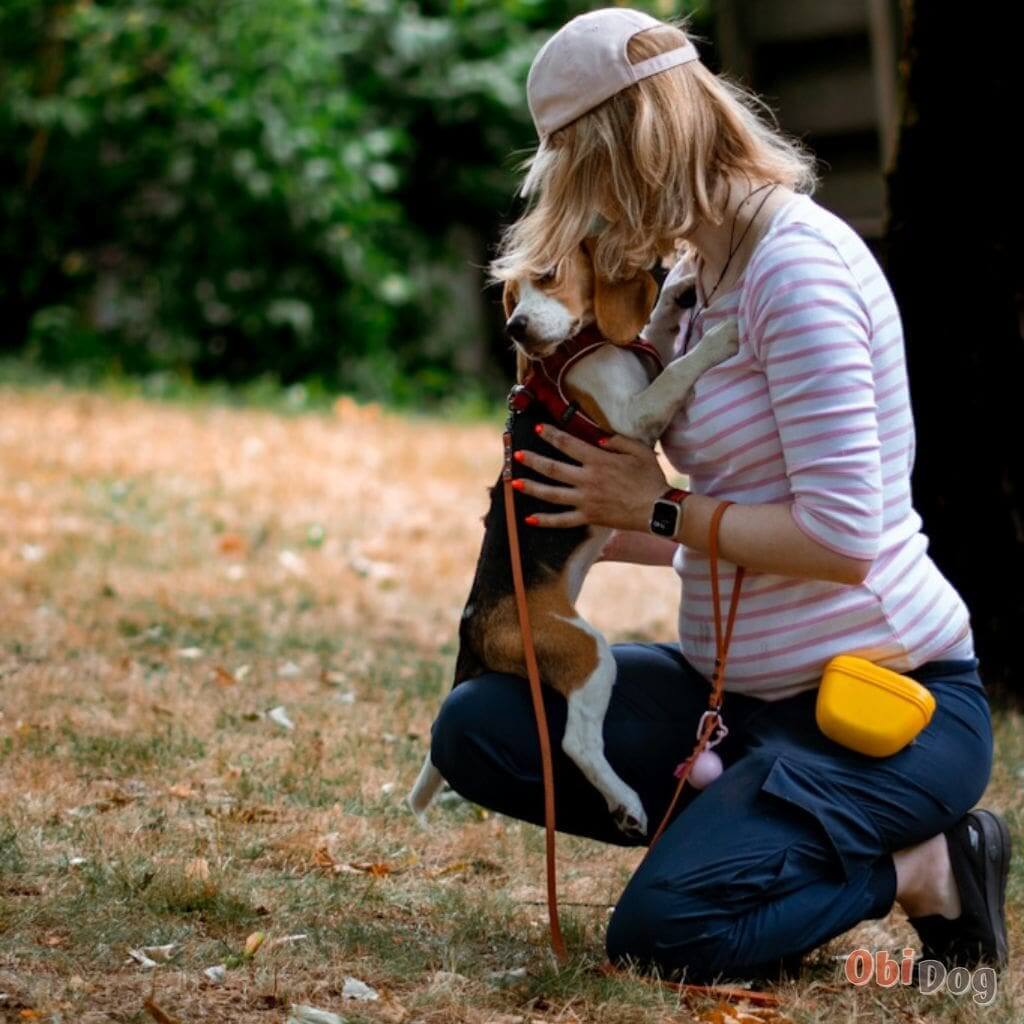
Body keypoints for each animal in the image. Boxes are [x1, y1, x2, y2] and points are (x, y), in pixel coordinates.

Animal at [407, 241, 737, 839]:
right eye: (511, 297)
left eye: (546, 276)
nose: (514, 327)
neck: (584, 344)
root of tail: (473, 629)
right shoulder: (633, 416)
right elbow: (678, 369)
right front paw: (724, 337)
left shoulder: (640, 367)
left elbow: (657, 336)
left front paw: (675, 293)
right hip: (585, 651)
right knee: (575, 741)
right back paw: (626, 802)